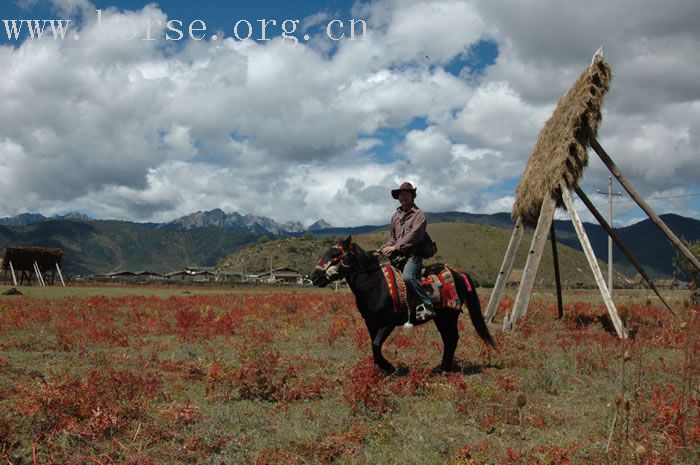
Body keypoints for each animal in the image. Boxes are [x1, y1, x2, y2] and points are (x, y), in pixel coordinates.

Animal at [308, 236, 494, 374]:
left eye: (335, 253)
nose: (314, 276)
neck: (375, 284)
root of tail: (458, 273)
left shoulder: (388, 322)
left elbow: (376, 345)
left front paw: (389, 367)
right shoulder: (371, 322)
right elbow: (374, 346)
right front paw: (380, 370)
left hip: (449, 316)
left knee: (452, 339)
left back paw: (444, 369)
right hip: (441, 318)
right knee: (448, 339)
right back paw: (441, 367)